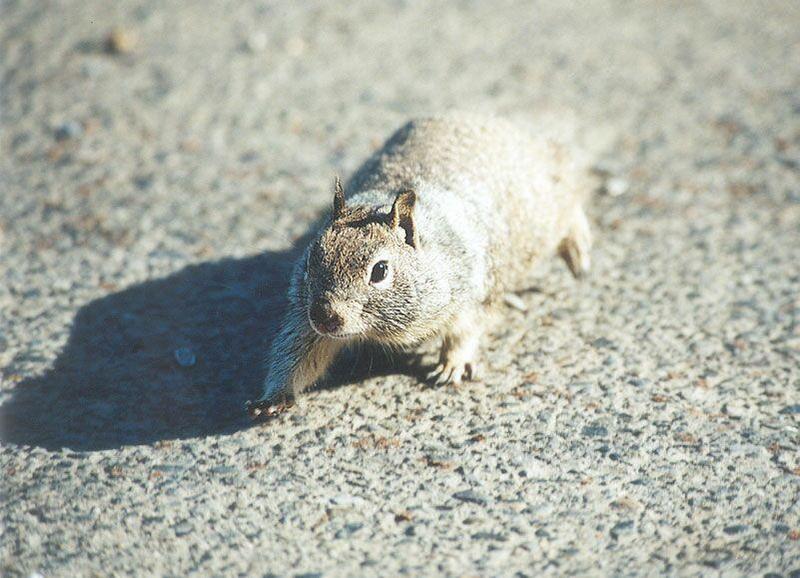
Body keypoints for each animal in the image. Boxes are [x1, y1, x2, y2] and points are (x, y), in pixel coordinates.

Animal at [247, 111, 592, 414]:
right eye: (310, 261)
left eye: (380, 270)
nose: (324, 316)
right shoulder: (304, 319)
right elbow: (295, 355)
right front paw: (273, 398)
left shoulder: (474, 290)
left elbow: (466, 330)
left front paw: (452, 365)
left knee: (573, 209)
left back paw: (578, 255)